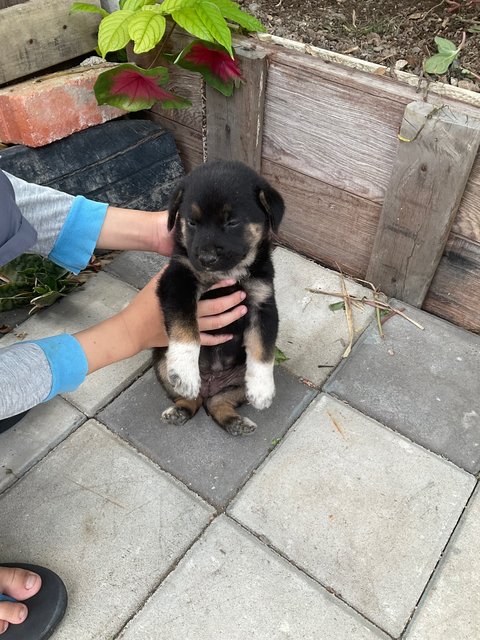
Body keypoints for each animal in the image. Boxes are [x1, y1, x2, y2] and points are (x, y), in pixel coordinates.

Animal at [152, 160, 284, 436]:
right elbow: (186, 328)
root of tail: (211, 384)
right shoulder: (177, 282)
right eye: (192, 222)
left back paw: (236, 422)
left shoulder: (262, 302)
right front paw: (185, 370)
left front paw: (263, 389)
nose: (206, 259)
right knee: (191, 399)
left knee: (218, 403)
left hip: (235, 381)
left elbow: (263, 349)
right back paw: (180, 409)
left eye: (232, 222)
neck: (227, 274)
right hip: (160, 360)